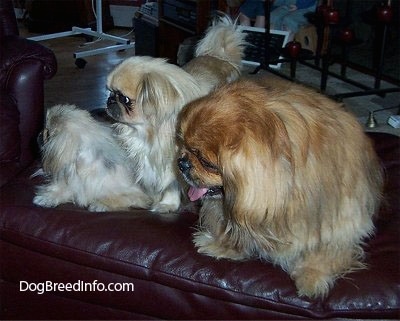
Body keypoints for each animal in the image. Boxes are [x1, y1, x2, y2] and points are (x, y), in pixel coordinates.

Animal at [104, 14, 245, 212]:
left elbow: (172, 185)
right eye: (110, 92)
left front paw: (167, 204)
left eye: (124, 99)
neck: (148, 133)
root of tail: (221, 57)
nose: (109, 100)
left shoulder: (173, 164)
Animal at [178, 77, 384, 298]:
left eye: (205, 161)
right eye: (184, 146)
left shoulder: (337, 220)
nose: (182, 163)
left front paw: (312, 277)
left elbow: (323, 251)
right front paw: (220, 245)